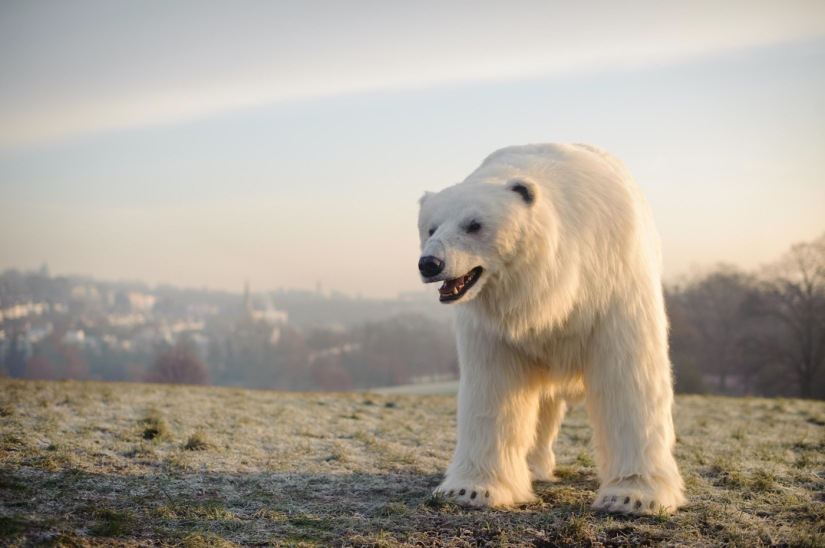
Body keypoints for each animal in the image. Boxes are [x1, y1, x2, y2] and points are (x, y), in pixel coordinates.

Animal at [416, 143, 685, 515]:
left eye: (475, 225)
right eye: (431, 228)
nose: (430, 263)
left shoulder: (612, 283)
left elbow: (629, 378)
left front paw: (633, 495)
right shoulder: (497, 327)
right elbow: (493, 387)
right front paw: (471, 489)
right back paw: (531, 467)